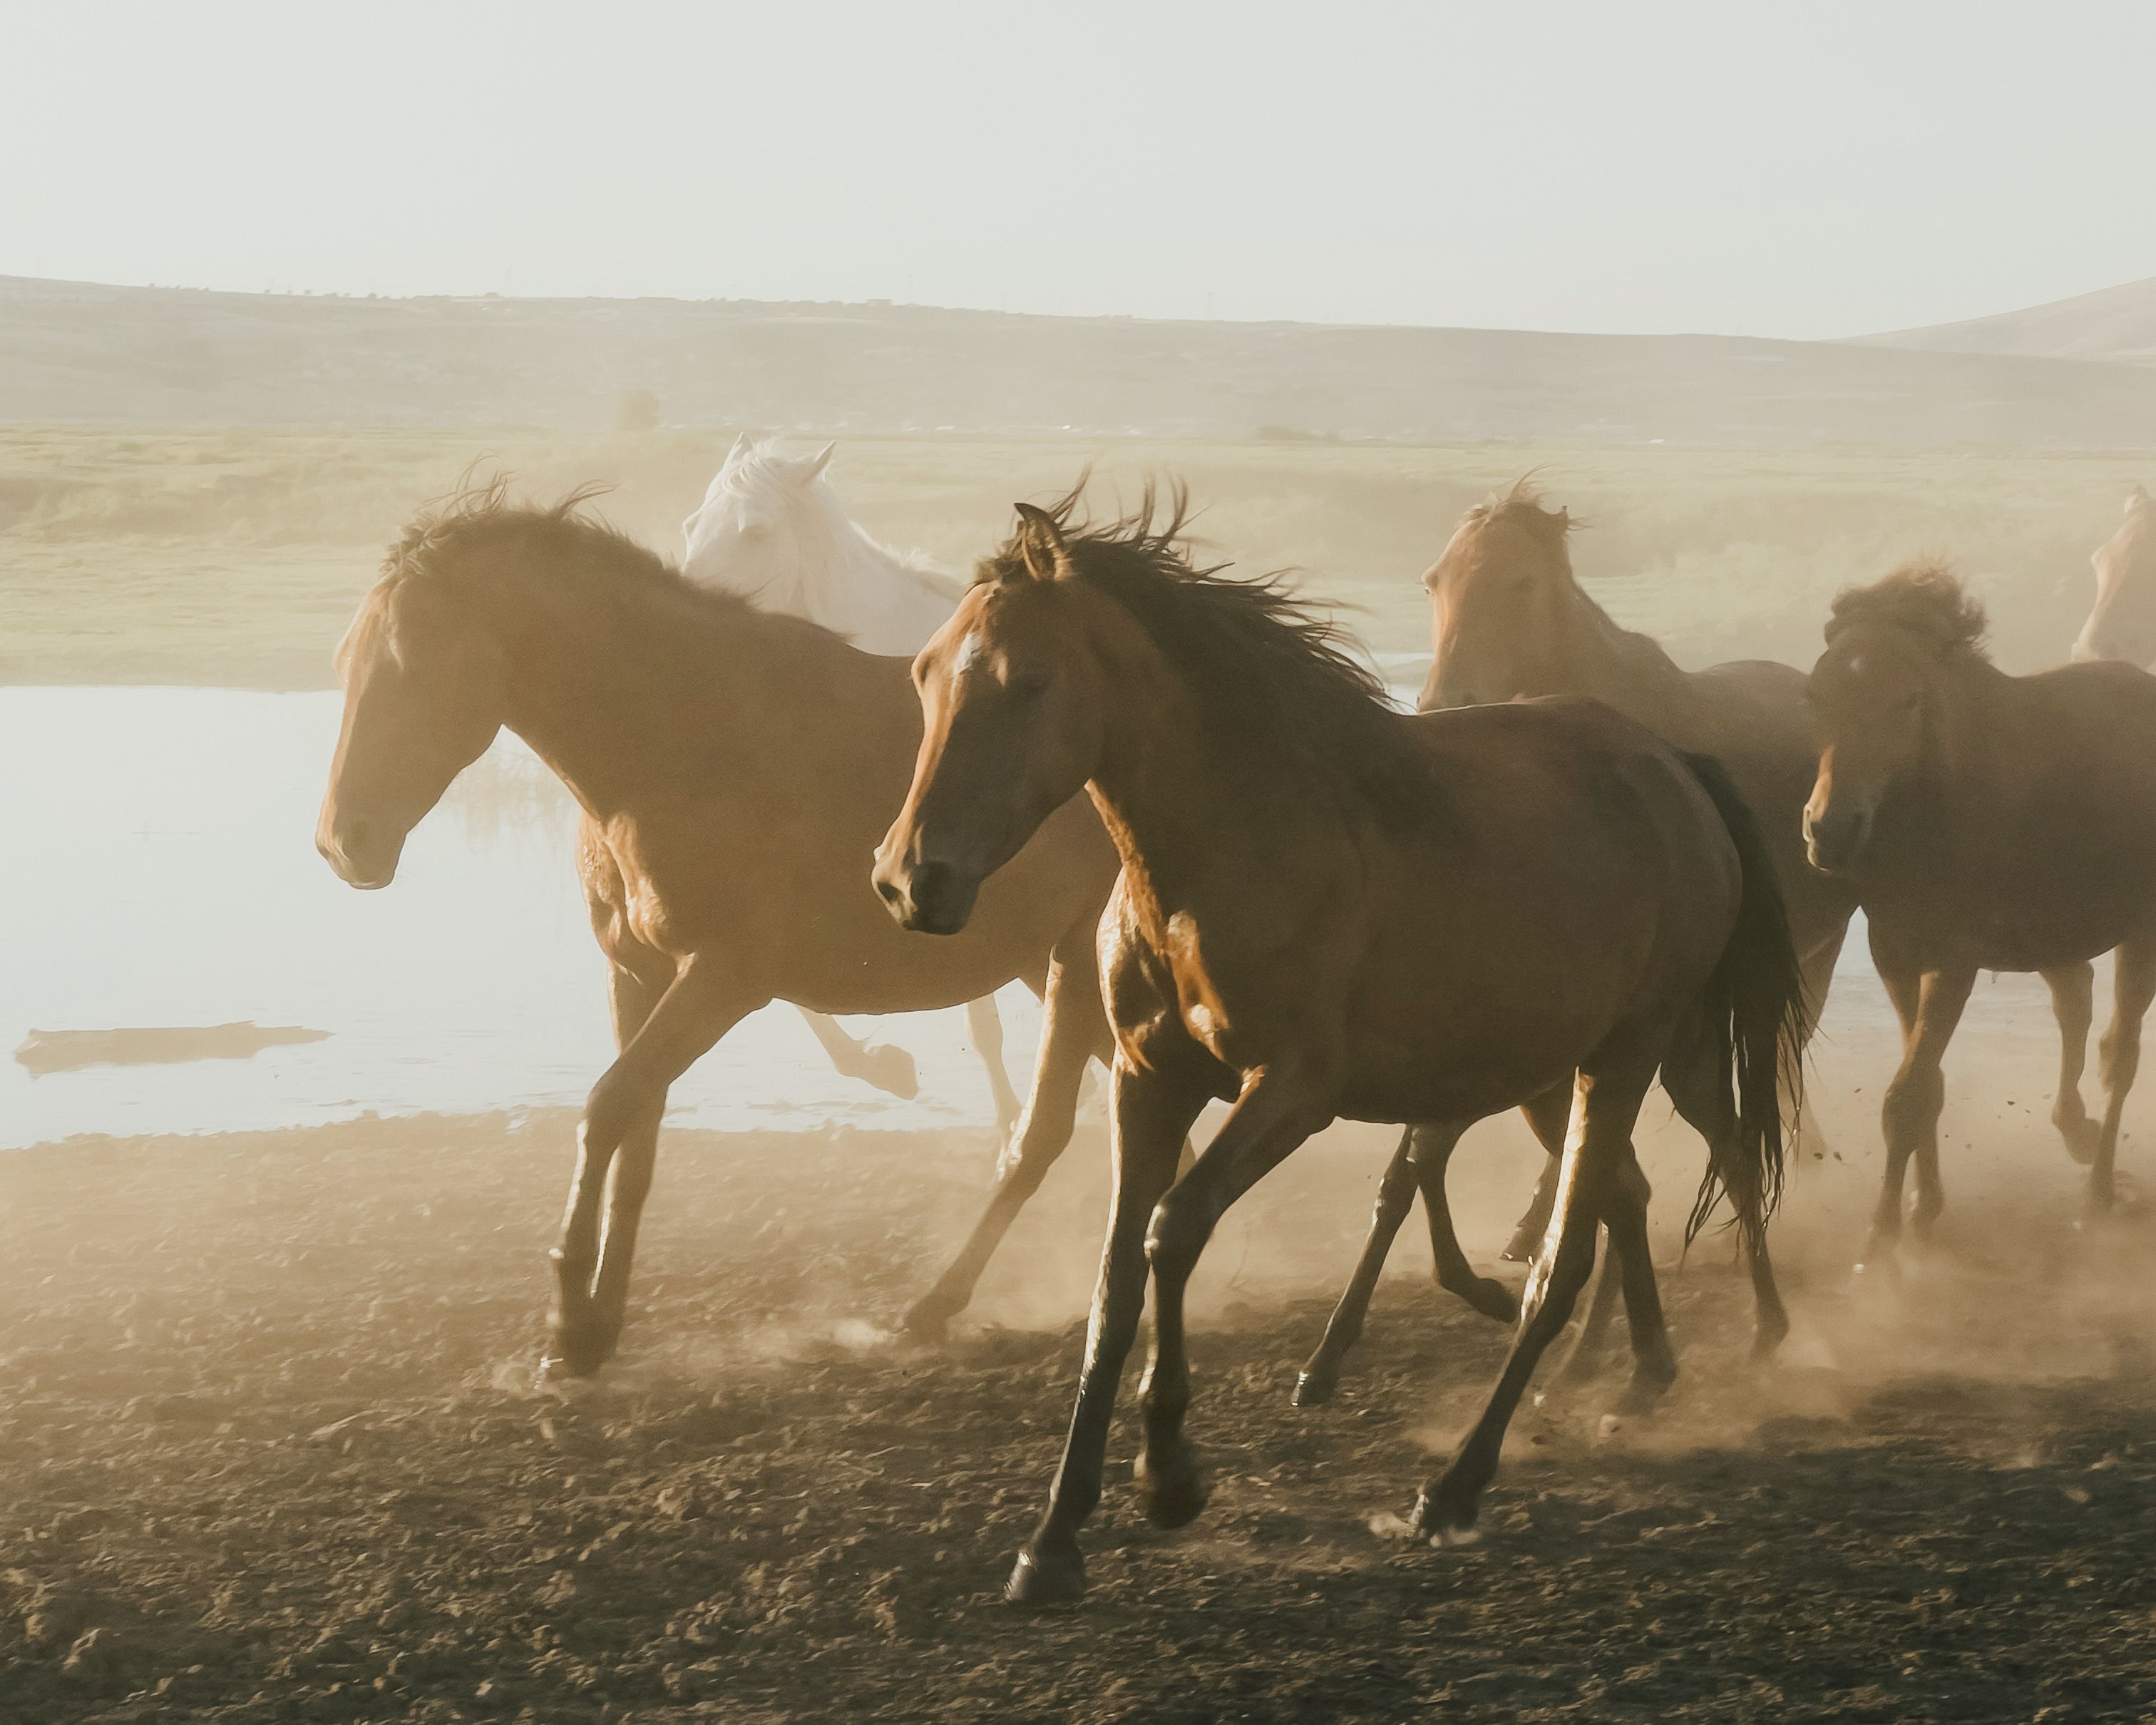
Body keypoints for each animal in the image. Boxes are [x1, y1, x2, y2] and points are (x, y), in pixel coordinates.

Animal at [1803, 561, 2156, 1258]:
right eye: (1816, 693)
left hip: (2142, 931)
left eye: (1907, 698)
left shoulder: (1953, 963)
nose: (1830, 830)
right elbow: (1927, 1086)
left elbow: (1907, 1096)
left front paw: (1882, 1240)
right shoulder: (1895, 955)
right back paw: (2076, 1133)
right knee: (2076, 1003)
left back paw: (2098, 1191)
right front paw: (1924, 1206)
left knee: (2120, 1052)